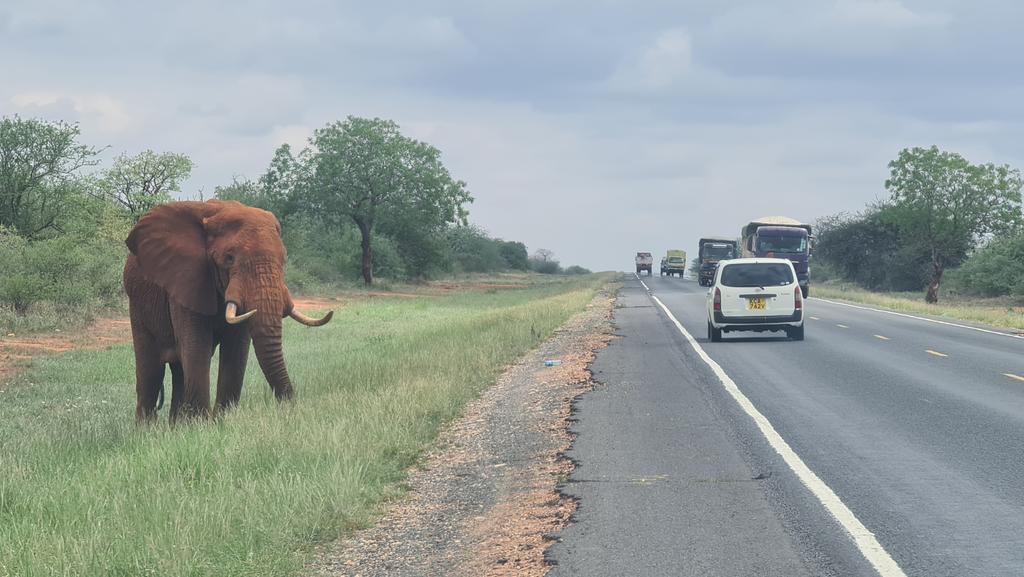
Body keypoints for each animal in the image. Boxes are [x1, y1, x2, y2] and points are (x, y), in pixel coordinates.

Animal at [123, 199, 333, 422]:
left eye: (284, 258)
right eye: (229, 258)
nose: (289, 406)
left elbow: (236, 348)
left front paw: (221, 420)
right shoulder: (187, 278)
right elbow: (197, 346)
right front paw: (202, 423)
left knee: (178, 370)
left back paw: (178, 425)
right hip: (137, 306)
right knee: (151, 371)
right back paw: (149, 428)